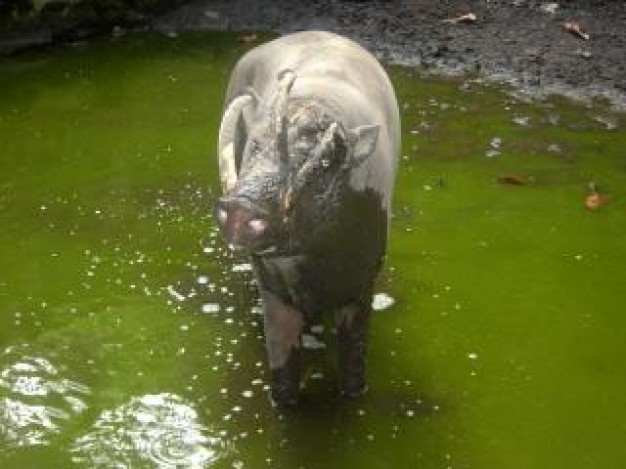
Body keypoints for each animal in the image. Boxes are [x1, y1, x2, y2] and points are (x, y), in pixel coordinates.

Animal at [214, 31, 400, 404]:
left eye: (324, 162)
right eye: (255, 144)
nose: (241, 208)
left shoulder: (361, 287)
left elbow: (353, 370)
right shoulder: (273, 289)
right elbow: (283, 376)